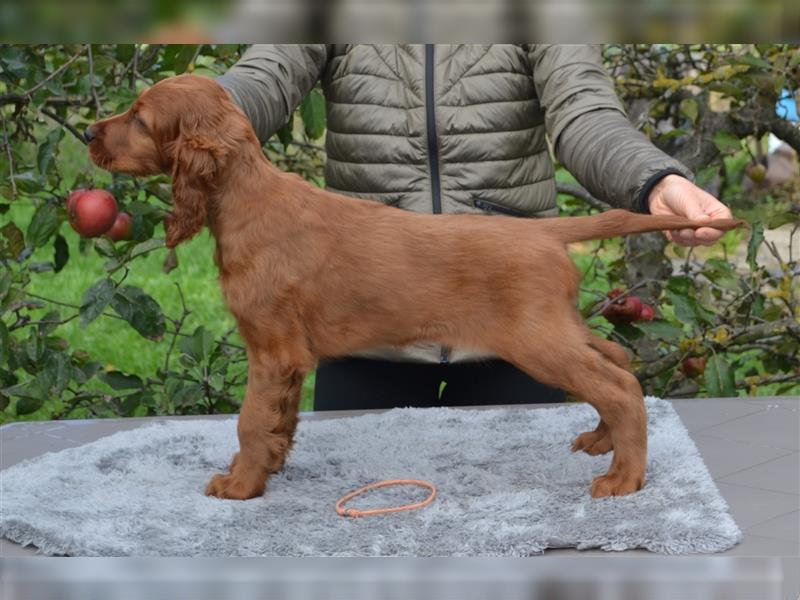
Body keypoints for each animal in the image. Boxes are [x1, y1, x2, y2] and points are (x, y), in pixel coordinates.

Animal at [87, 77, 744, 504]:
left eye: (140, 119)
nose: (91, 131)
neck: (246, 199)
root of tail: (545, 231)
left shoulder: (271, 348)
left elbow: (250, 419)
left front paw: (240, 486)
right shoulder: (288, 359)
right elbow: (278, 419)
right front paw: (267, 468)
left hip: (536, 339)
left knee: (620, 386)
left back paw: (624, 478)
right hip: (558, 325)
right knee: (615, 361)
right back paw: (602, 441)